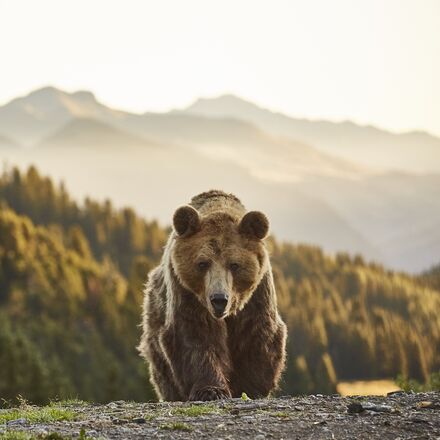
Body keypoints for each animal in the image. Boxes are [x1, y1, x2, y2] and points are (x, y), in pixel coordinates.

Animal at [139, 191, 288, 400]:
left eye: (234, 265)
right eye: (202, 263)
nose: (219, 299)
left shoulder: (257, 296)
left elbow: (258, 334)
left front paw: (250, 388)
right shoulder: (187, 294)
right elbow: (196, 338)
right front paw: (211, 390)